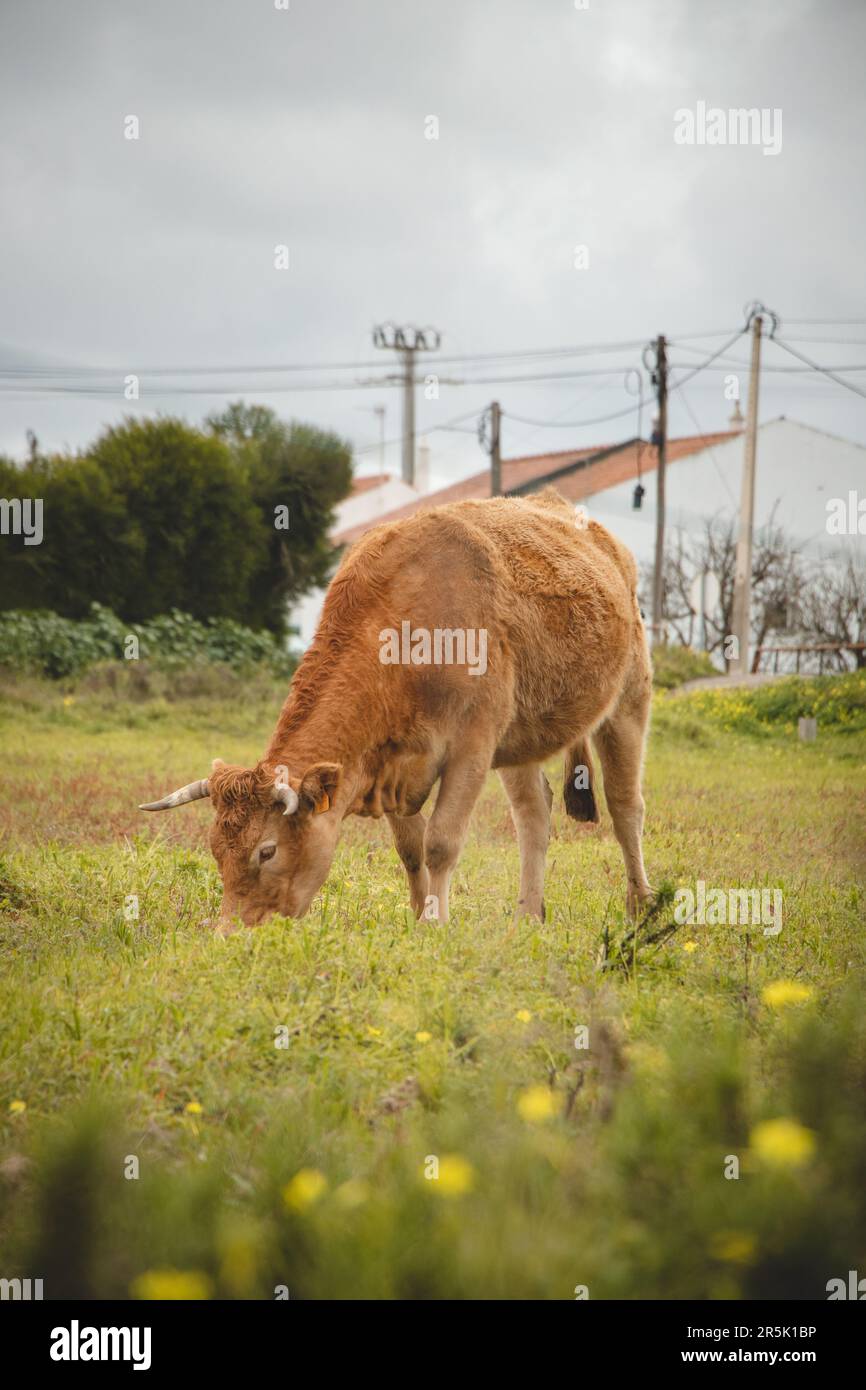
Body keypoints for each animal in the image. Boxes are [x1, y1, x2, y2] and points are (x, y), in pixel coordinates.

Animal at [142, 492, 653, 934]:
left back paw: (641, 905)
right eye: (215, 849)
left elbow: (441, 842)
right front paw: (416, 915)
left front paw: (434, 924)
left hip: (628, 701)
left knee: (625, 807)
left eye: (267, 852)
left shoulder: (473, 746)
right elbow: (410, 849)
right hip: (521, 741)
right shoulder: (387, 762)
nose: (230, 933)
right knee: (533, 817)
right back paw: (527, 915)